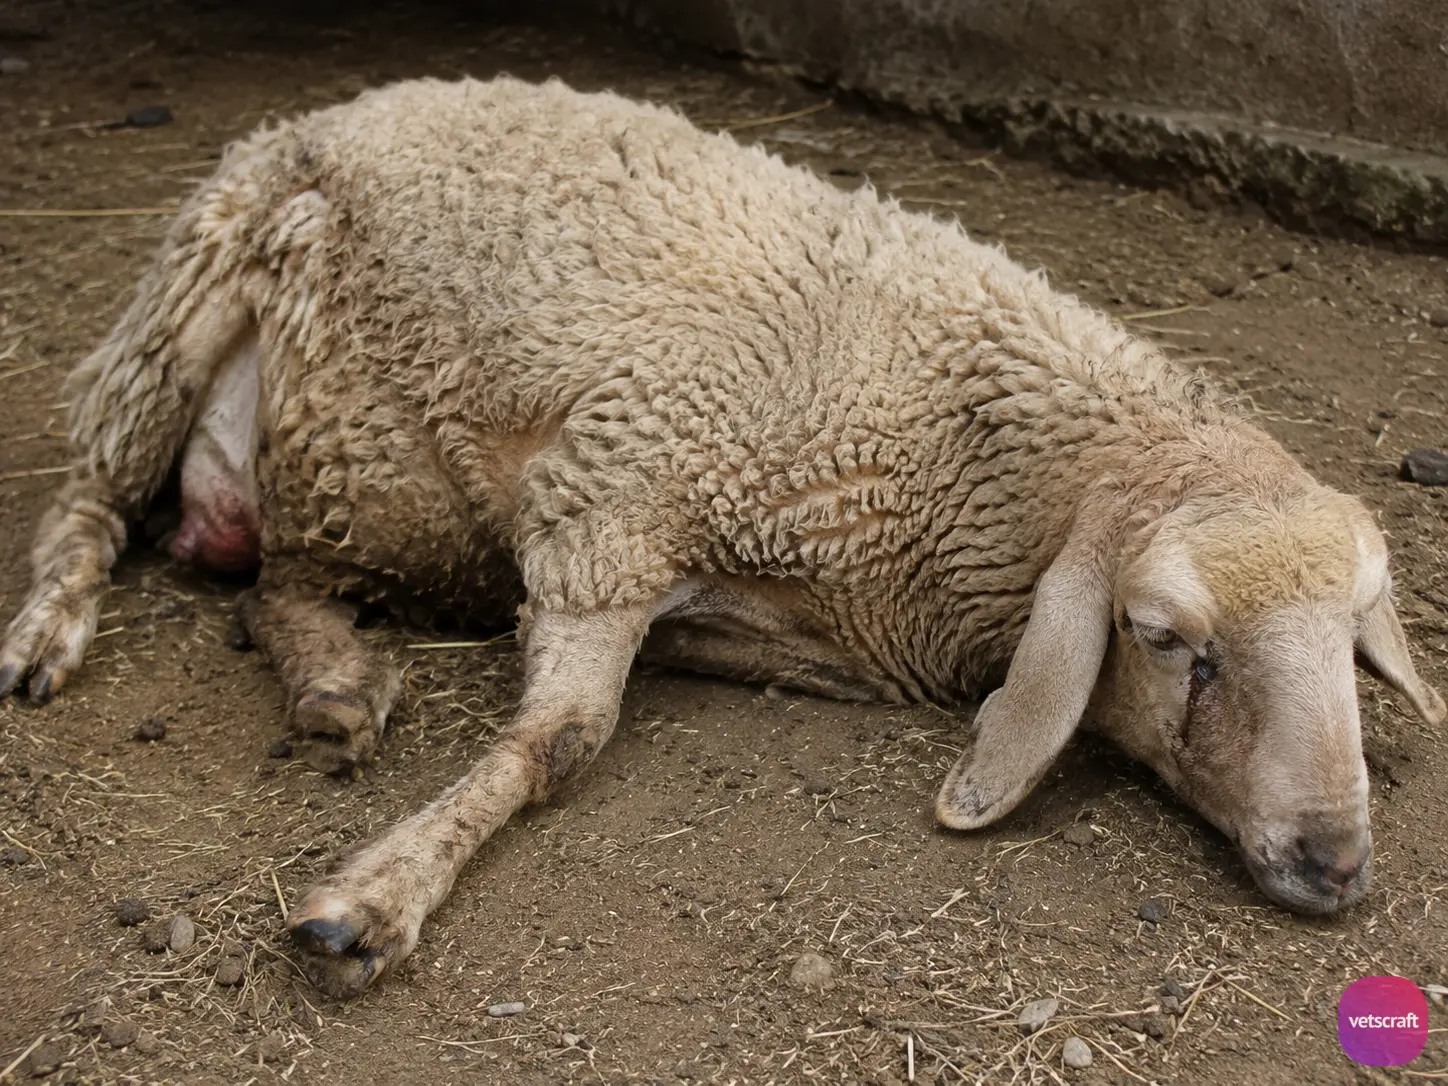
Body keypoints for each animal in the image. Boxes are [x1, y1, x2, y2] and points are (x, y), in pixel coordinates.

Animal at [1, 75, 1442, 999]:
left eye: (1349, 641)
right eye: (1163, 638)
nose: (1336, 860)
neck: (956, 440)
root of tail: (340, 106)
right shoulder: (613, 494)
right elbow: (563, 738)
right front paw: (376, 900)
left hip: (369, 494)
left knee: (272, 581)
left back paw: (335, 684)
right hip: (183, 296)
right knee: (89, 502)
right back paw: (45, 639)